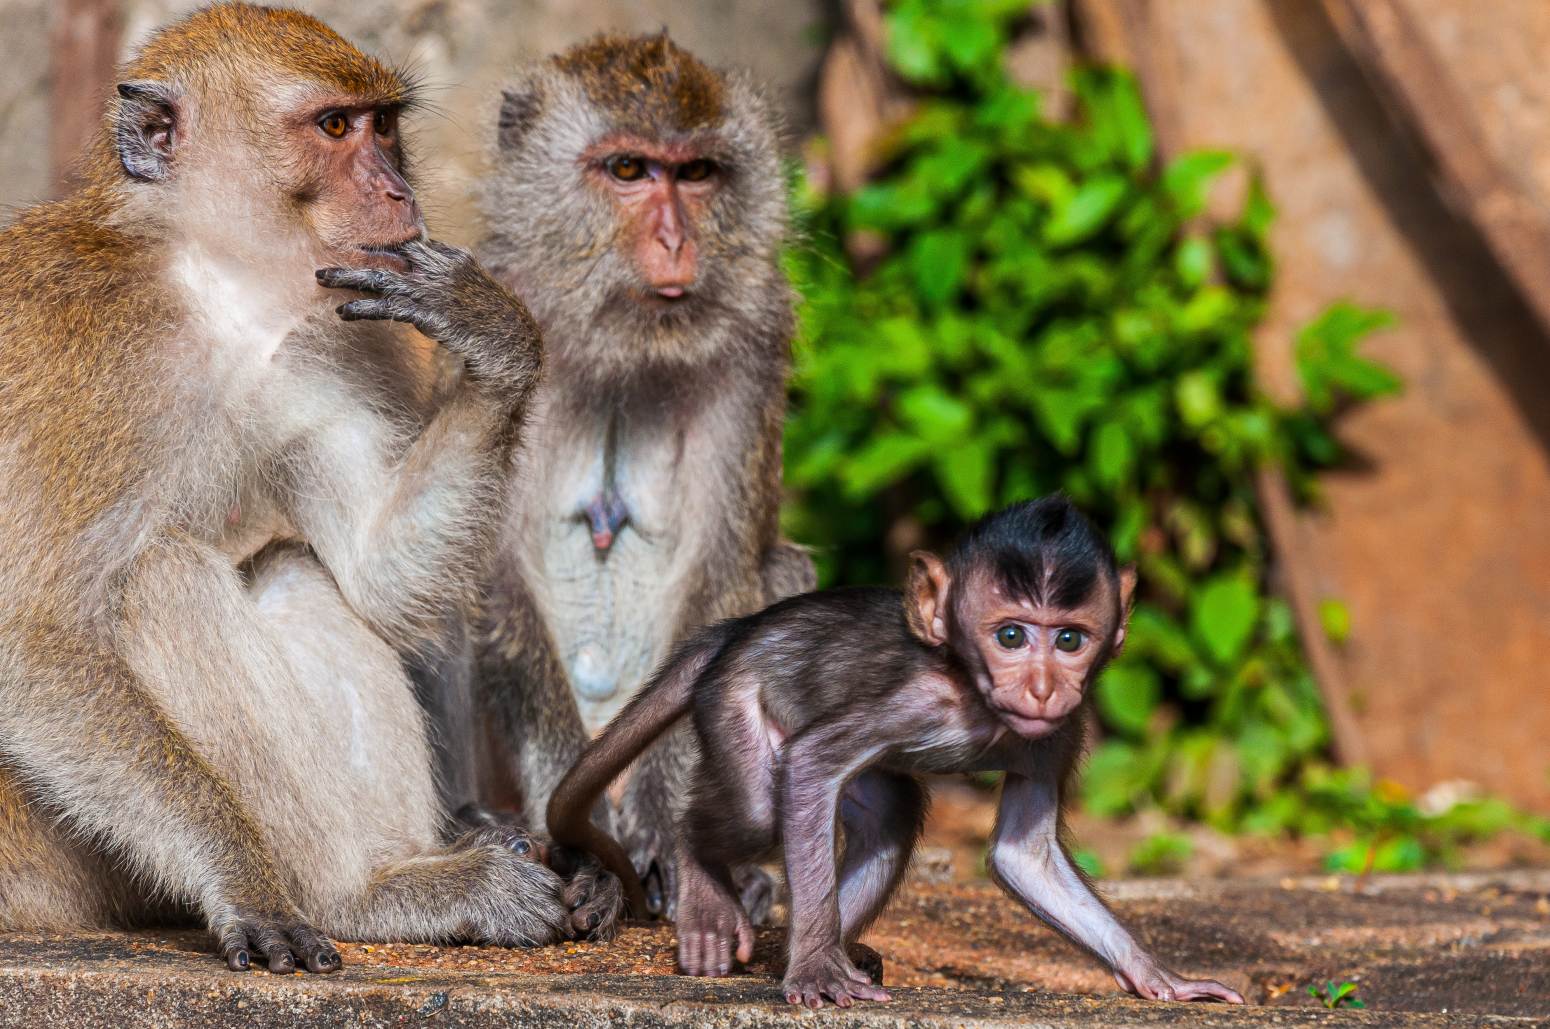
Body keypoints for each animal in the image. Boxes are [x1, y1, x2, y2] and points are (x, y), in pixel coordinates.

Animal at [0, 3, 618, 974]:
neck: (213, 285)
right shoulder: (93, 351)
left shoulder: (334, 344)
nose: (399, 193)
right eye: (333, 127)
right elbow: (32, 639)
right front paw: (244, 880)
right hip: (45, 851)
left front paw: (494, 336)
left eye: (384, 126)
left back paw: (410, 877)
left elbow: (376, 572)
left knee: (295, 568)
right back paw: (347, 895)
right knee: (157, 578)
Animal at [455, 32, 813, 922]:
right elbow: (494, 575)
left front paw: (667, 838)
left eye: (697, 174)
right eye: (628, 170)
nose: (678, 244)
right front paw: (580, 847)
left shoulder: (753, 347)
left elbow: (721, 574)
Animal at [547, 496, 1246, 1009]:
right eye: (1011, 636)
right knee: (754, 810)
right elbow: (810, 763)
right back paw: (711, 885)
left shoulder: (1061, 733)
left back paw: (808, 951)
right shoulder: (913, 699)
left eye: (1070, 640)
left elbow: (1024, 856)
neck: (976, 696)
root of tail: (739, 629)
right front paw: (814, 972)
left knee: (890, 814)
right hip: (733, 699)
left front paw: (1157, 976)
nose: (1043, 688)